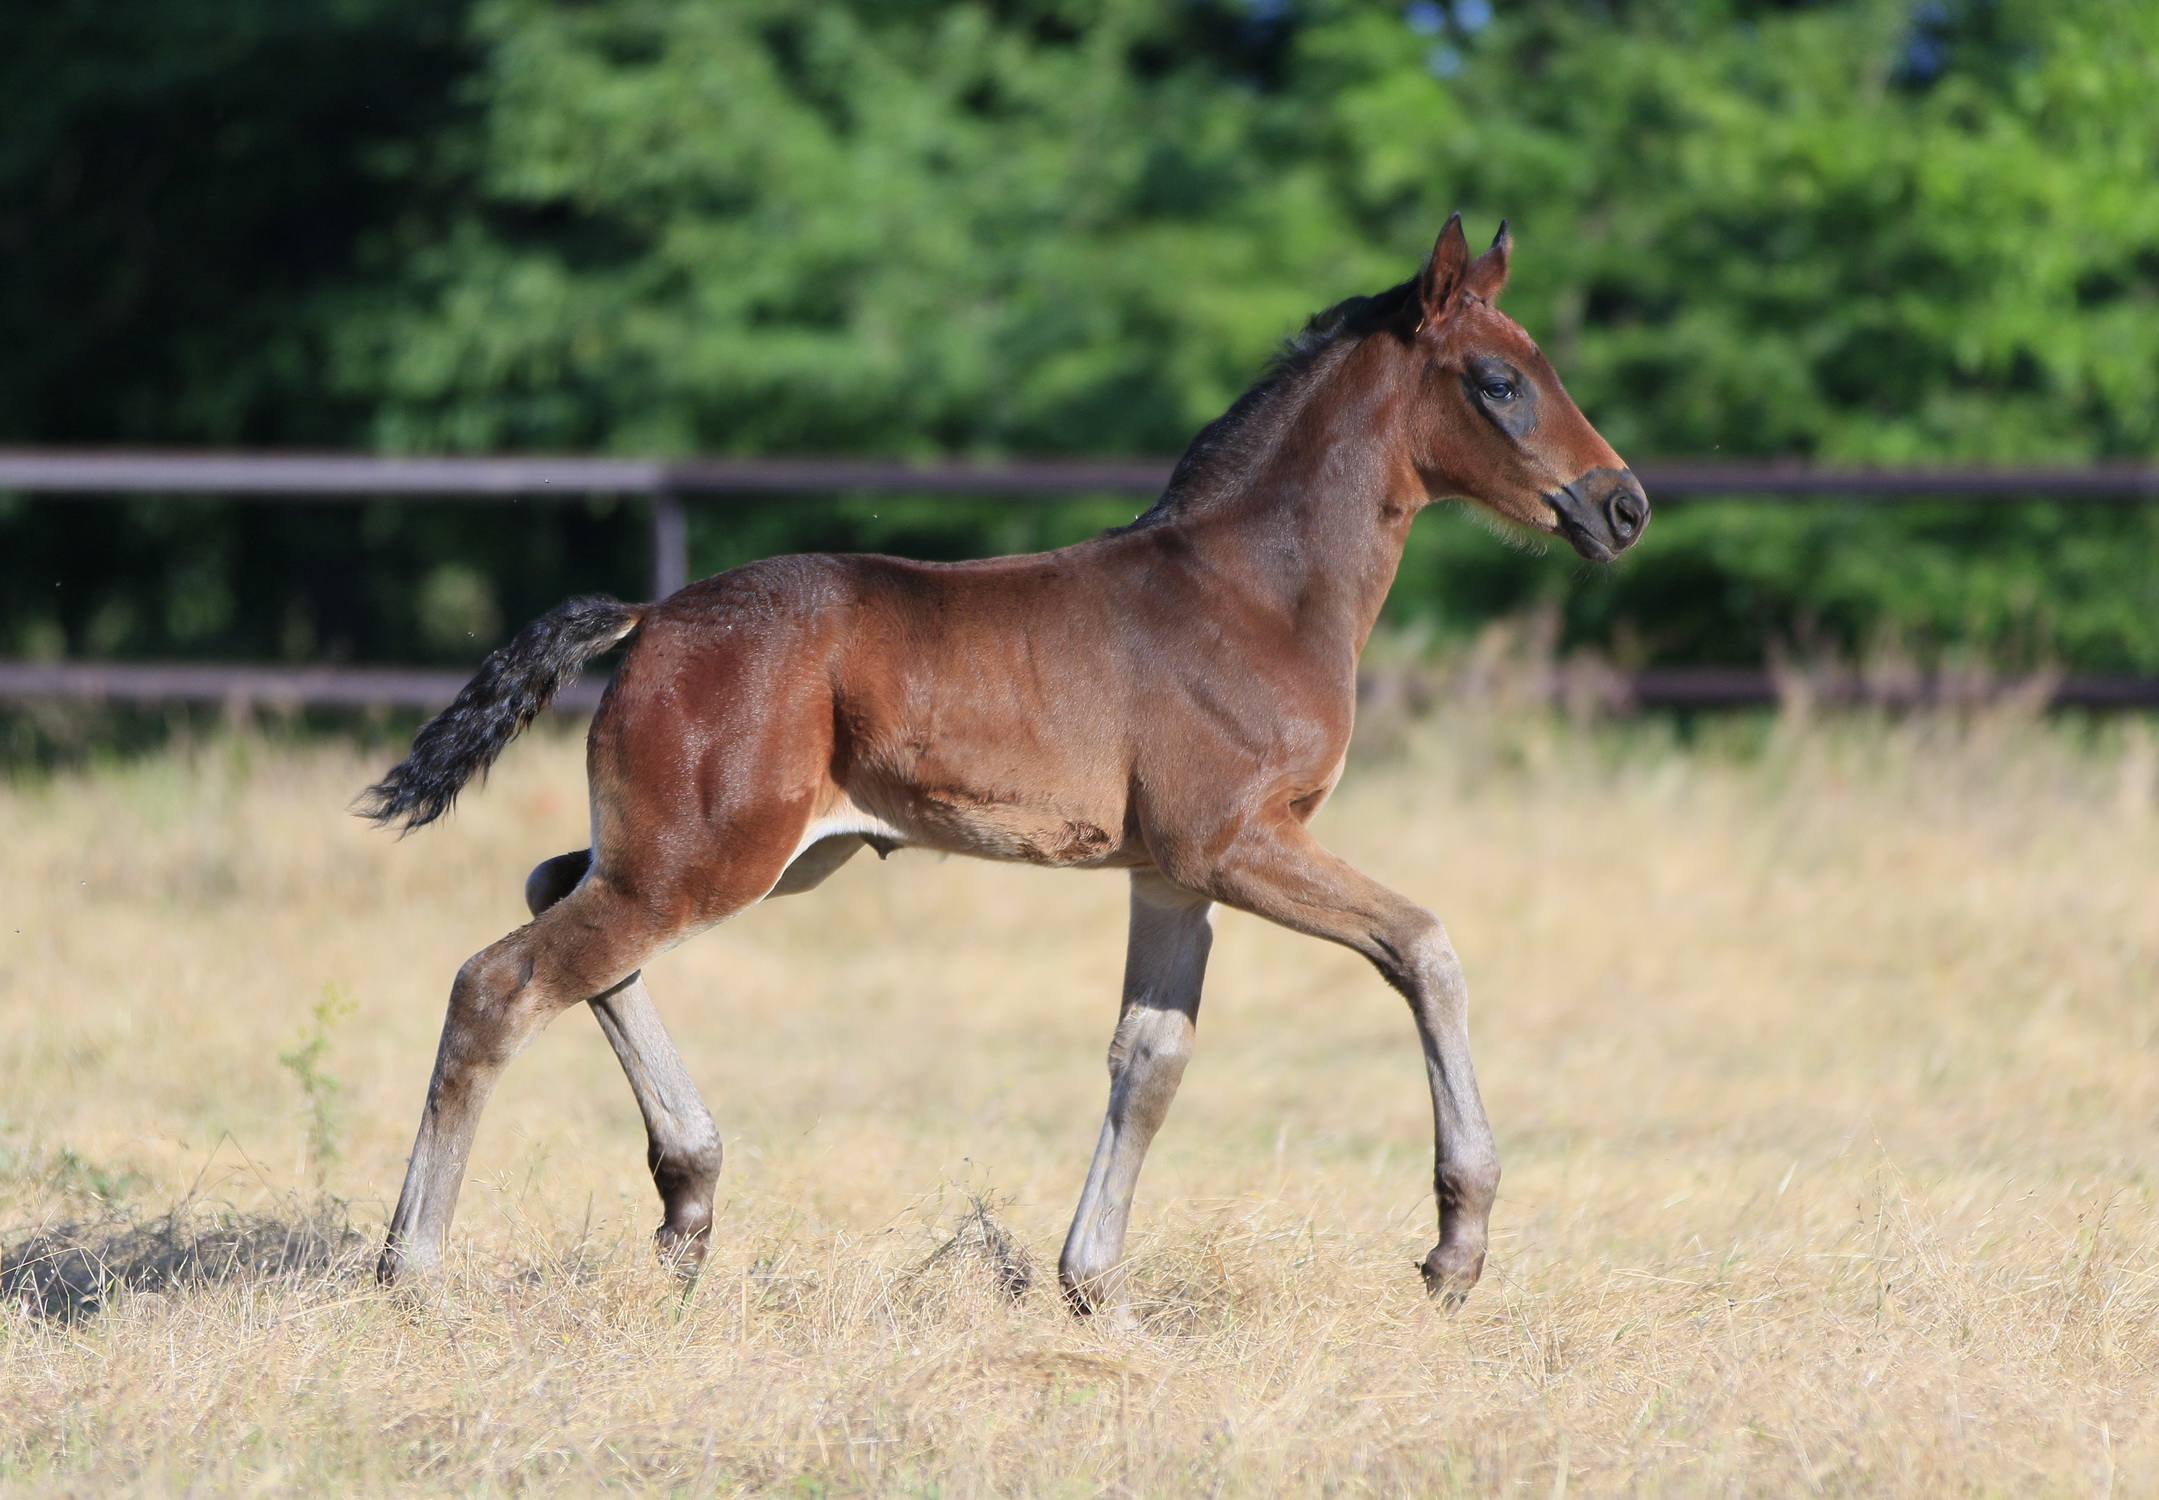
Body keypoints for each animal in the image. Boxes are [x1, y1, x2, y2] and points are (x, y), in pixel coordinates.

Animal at [362, 216, 1649, 1312]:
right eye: (1498, 382)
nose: (1621, 506)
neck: (1254, 592)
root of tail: (652, 616)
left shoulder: (1169, 874)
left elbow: (1150, 1059)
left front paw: (1093, 1285)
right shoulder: (1235, 842)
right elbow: (1422, 948)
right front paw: (1454, 1249)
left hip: (745, 853)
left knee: (553, 896)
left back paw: (688, 1194)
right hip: (708, 858)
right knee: (501, 982)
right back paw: (412, 1268)